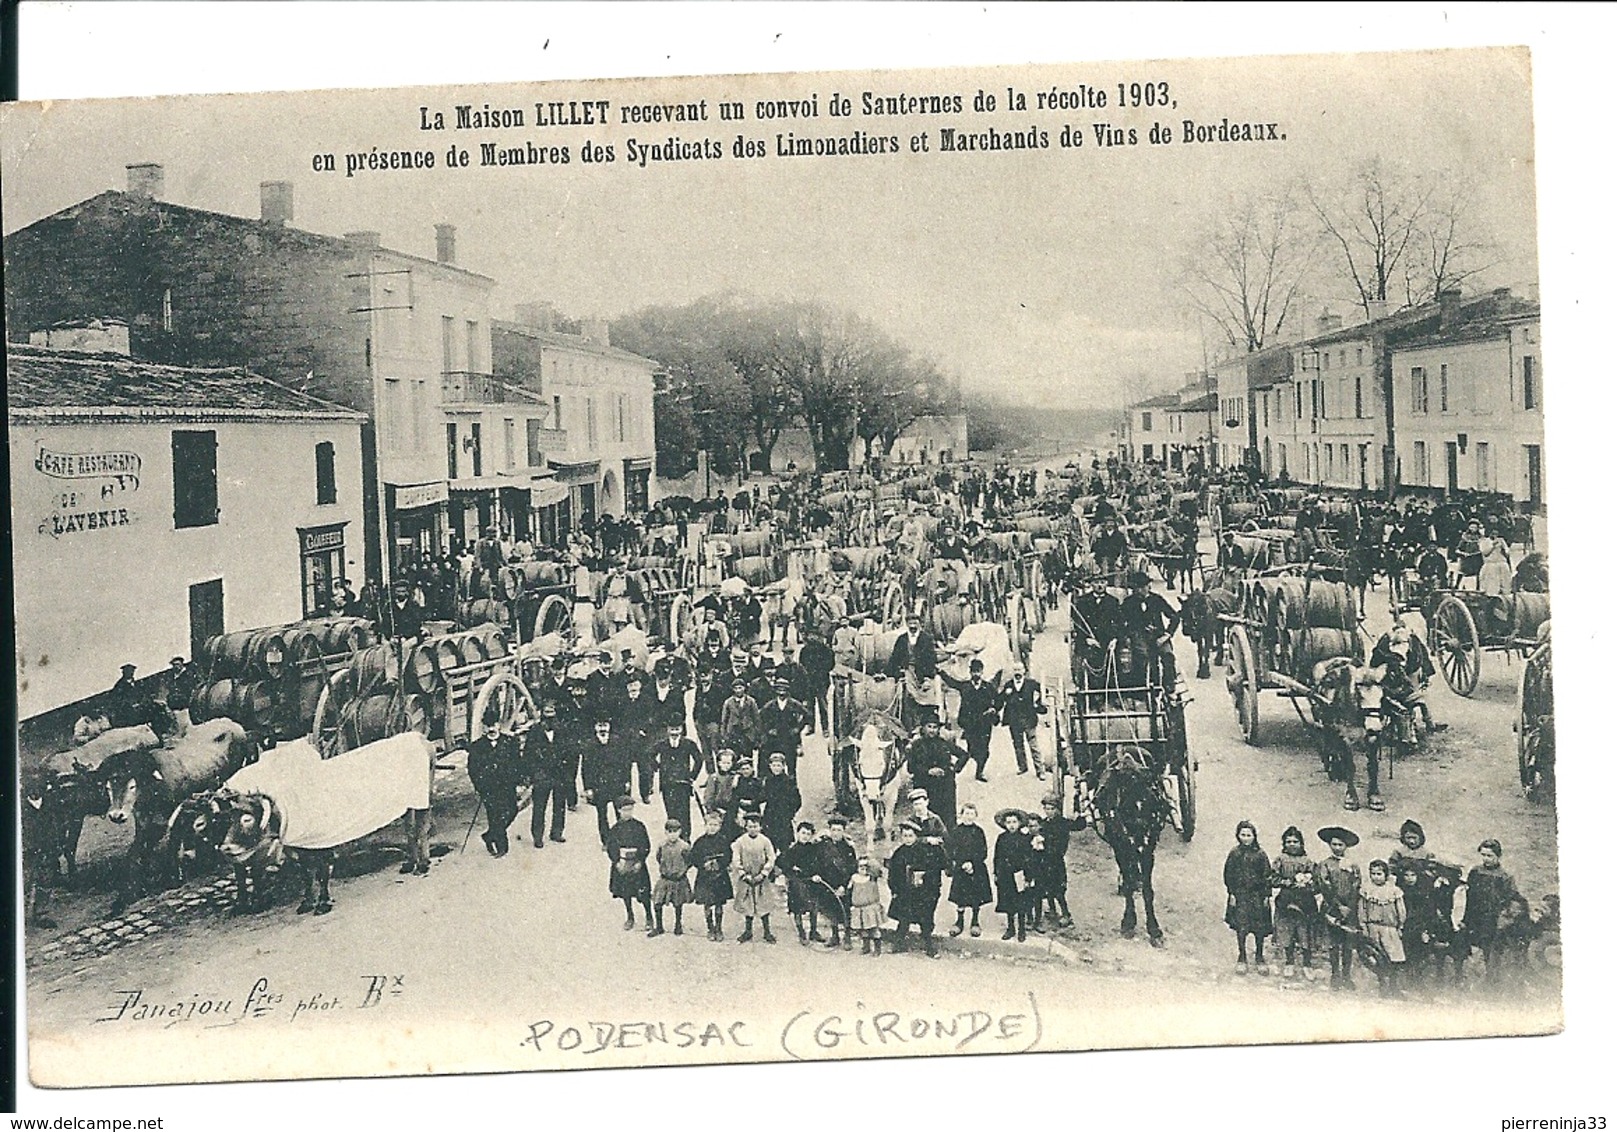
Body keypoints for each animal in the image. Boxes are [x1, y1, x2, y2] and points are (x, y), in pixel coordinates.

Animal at [1086, 743, 1177, 944]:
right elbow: (1127, 881)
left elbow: (1149, 890)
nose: (1142, 827)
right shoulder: (1120, 844)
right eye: (1125, 799)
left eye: (1150, 798)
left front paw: (1154, 928)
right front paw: (1128, 922)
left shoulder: (1148, 847)